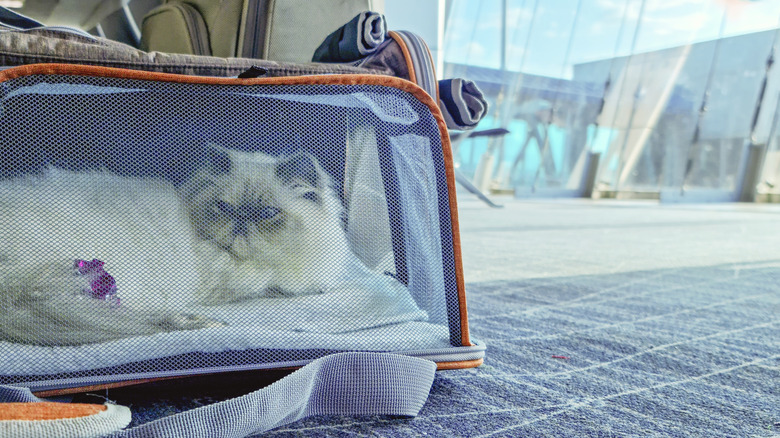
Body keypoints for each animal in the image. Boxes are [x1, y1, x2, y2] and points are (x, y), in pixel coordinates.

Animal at [0, 146, 356, 346]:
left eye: (268, 213)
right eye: (224, 207)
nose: (241, 222)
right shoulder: (238, 283)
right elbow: (274, 287)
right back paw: (203, 323)